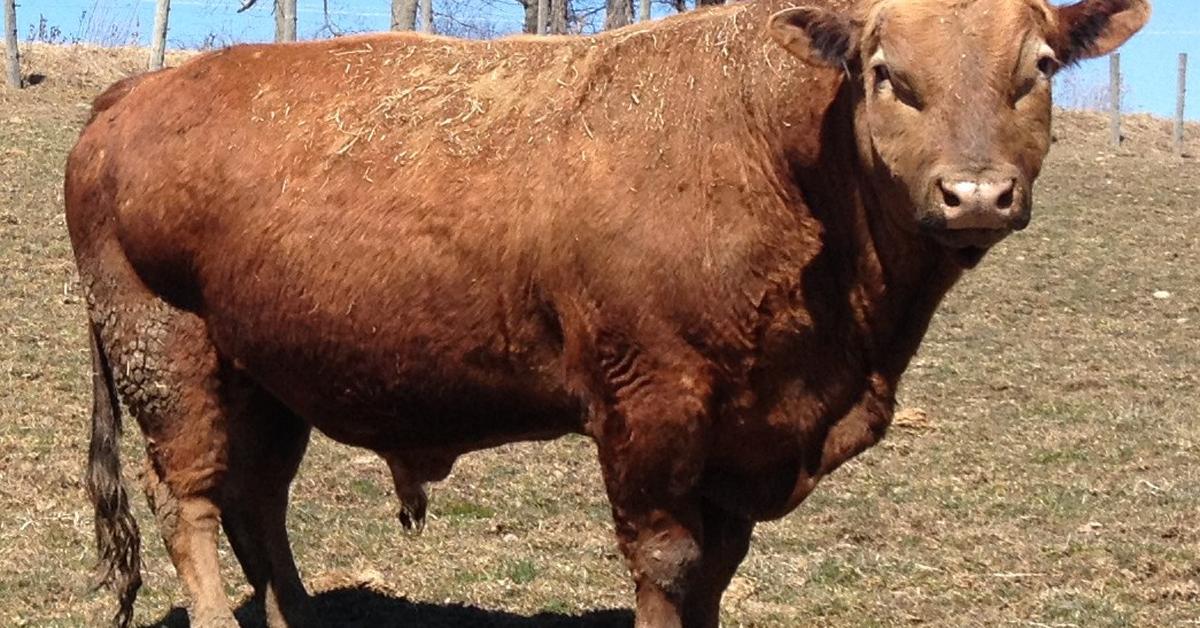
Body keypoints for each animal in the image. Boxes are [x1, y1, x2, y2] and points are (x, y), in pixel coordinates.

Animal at [63, 1, 1142, 628]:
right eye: (886, 70)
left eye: (1039, 65)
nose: (974, 194)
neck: (785, 147)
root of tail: (132, 92)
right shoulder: (651, 411)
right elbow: (668, 564)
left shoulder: (739, 438)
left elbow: (716, 571)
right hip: (168, 353)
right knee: (192, 502)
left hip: (269, 376)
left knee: (259, 505)